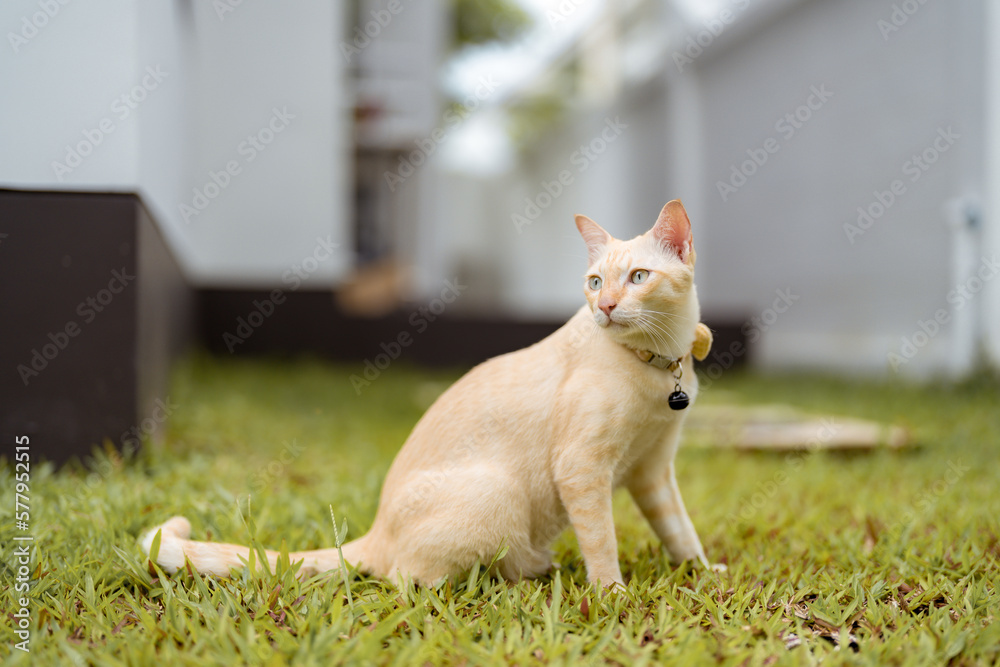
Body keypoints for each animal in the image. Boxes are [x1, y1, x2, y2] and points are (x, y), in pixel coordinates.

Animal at [143, 200, 720, 588]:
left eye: (638, 277)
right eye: (596, 282)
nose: (605, 308)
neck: (660, 365)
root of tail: (376, 530)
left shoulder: (653, 471)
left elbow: (680, 531)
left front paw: (703, 573)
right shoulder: (582, 469)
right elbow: (603, 541)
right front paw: (612, 594)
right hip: (497, 492)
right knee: (403, 580)